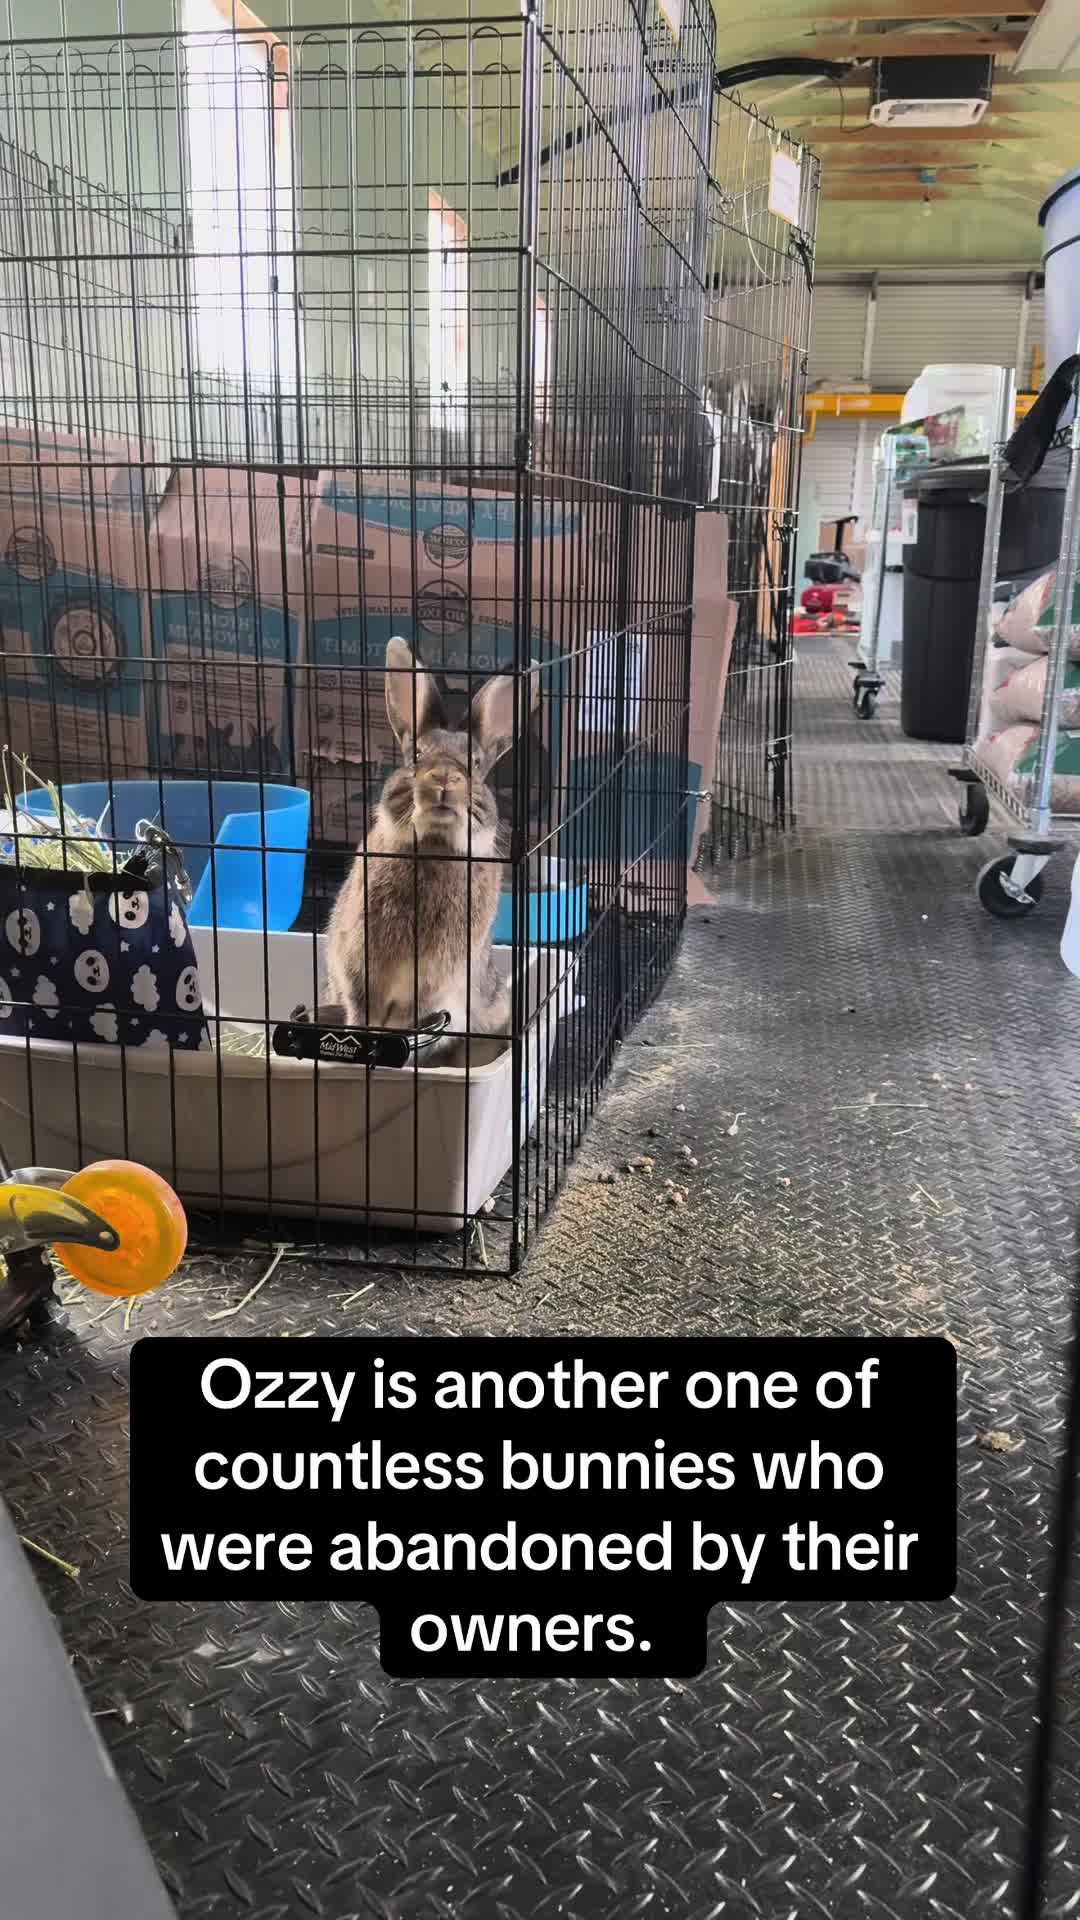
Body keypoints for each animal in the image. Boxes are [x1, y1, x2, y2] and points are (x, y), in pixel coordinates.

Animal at [325, 636, 537, 1066]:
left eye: (475, 764)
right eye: (417, 757)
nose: (443, 778)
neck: (434, 847)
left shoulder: (437, 978)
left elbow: (416, 1010)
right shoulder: (357, 962)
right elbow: (360, 1005)